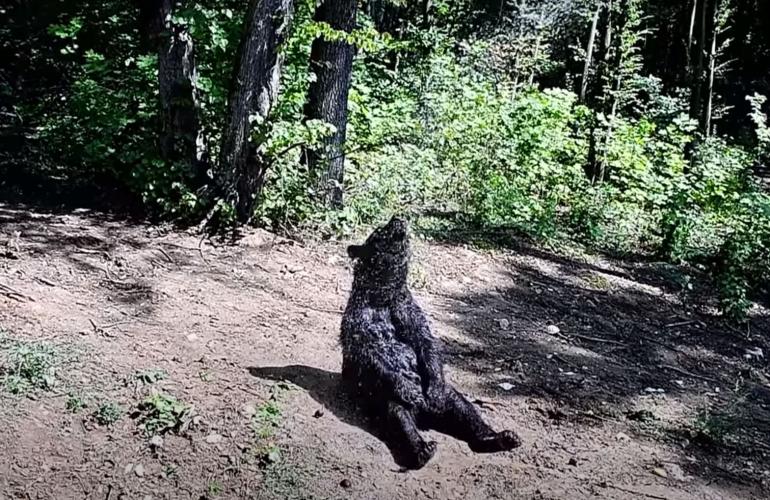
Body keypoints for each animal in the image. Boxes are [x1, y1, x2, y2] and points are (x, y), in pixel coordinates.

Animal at [340, 215, 520, 468]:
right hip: (392, 404)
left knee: (469, 415)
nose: (397, 217)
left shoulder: (413, 319)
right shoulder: (357, 335)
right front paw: (406, 386)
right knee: (402, 420)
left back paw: (500, 438)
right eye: (379, 231)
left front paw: (432, 385)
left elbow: (427, 347)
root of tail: (425, 415)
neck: (382, 298)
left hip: (451, 399)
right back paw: (422, 450)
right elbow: (373, 358)